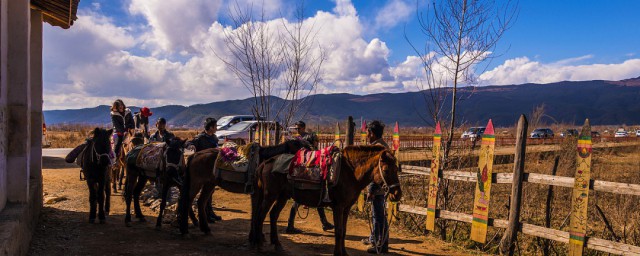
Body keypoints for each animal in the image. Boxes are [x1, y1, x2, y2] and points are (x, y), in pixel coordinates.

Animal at [178, 139, 310, 235]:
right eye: (303, 153)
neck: (264, 161)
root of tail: (194, 155)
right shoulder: (256, 193)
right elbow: (256, 212)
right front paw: (254, 235)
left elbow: (257, 212)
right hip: (196, 183)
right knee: (187, 201)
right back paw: (184, 229)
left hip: (209, 184)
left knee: (200, 202)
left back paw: (205, 228)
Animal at [249, 145, 400, 255]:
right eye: (386, 170)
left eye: (397, 168)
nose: (398, 194)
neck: (350, 173)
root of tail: (266, 163)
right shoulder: (338, 207)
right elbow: (339, 231)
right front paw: (338, 253)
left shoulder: (346, 208)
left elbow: (344, 231)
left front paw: (344, 253)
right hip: (270, 196)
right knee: (260, 216)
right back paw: (259, 245)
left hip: (282, 197)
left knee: (273, 215)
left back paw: (277, 244)